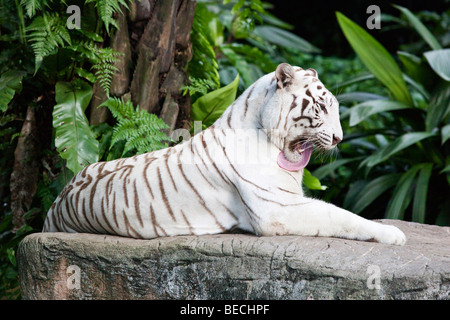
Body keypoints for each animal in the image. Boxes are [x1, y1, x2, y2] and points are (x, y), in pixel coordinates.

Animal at [43, 63, 408, 246]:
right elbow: (339, 215)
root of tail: (54, 206)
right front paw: (393, 234)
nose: (338, 138)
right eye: (320, 108)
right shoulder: (278, 209)